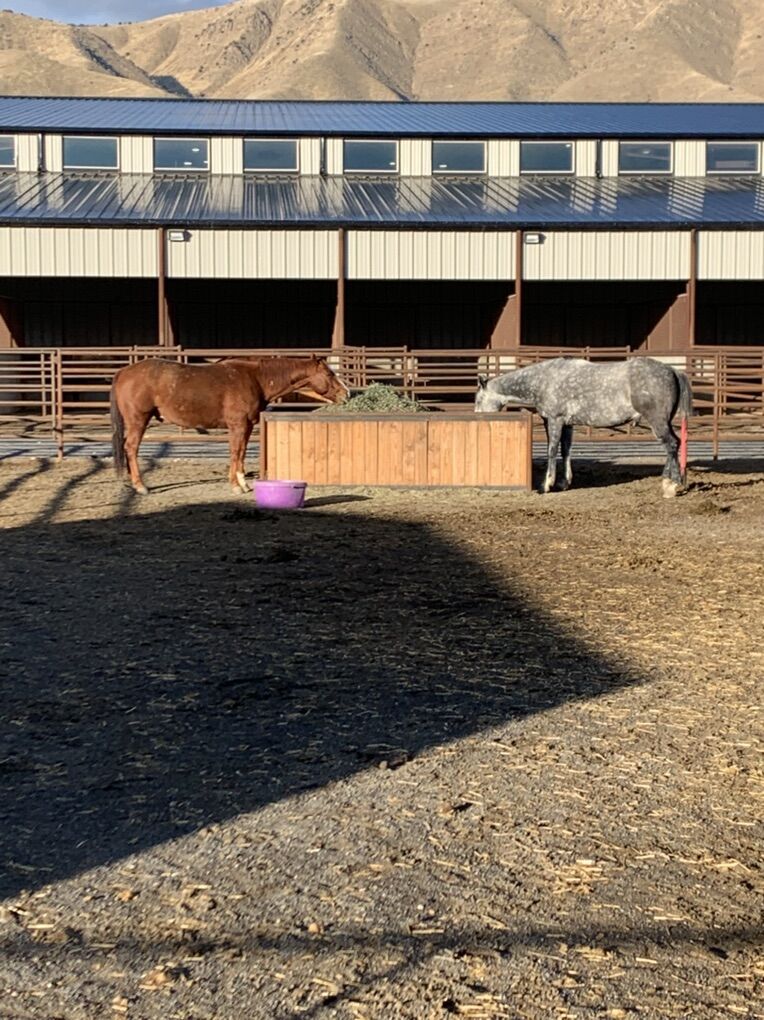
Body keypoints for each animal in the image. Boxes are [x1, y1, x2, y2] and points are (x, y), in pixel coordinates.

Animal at [111, 355, 349, 494]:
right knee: (131, 448)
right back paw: (140, 486)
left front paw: (243, 483)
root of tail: (123, 372)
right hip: (138, 420)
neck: (255, 378)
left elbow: (241, 452)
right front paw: (236, 486)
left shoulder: (247, 427)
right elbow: (235, 452)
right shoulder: (238, 426)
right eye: (329, 373)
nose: (346, 394)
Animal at [475, 357, 693, 497]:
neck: (543, 380)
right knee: (673, 445)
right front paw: (564, 483)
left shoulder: (554, 420)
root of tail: (673, 371)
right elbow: (566, 451)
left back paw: (672, 486)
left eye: (477, 399)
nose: (476, 417)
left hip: (658, 421)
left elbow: (552, 450)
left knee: (671, 444)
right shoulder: (568, 424)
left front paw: (546, 485)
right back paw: (667, 481)